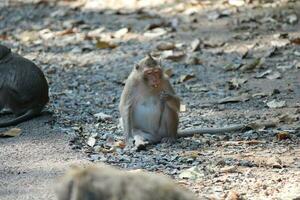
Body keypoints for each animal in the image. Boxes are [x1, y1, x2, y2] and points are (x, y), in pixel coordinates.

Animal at [119, 54, 274, 149]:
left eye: (157, 72)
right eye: (149, 73)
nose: (155, 80)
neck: (148, 85)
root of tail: (157, 137)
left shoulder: (165, 80)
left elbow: (176, 103)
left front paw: (167, 97)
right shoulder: (131, 82)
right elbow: (125, 107)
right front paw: (128, 140)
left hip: (163, 130)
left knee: (170, 110)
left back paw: (171, 138)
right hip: (146, 133)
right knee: (137, 131)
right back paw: (140, 142)